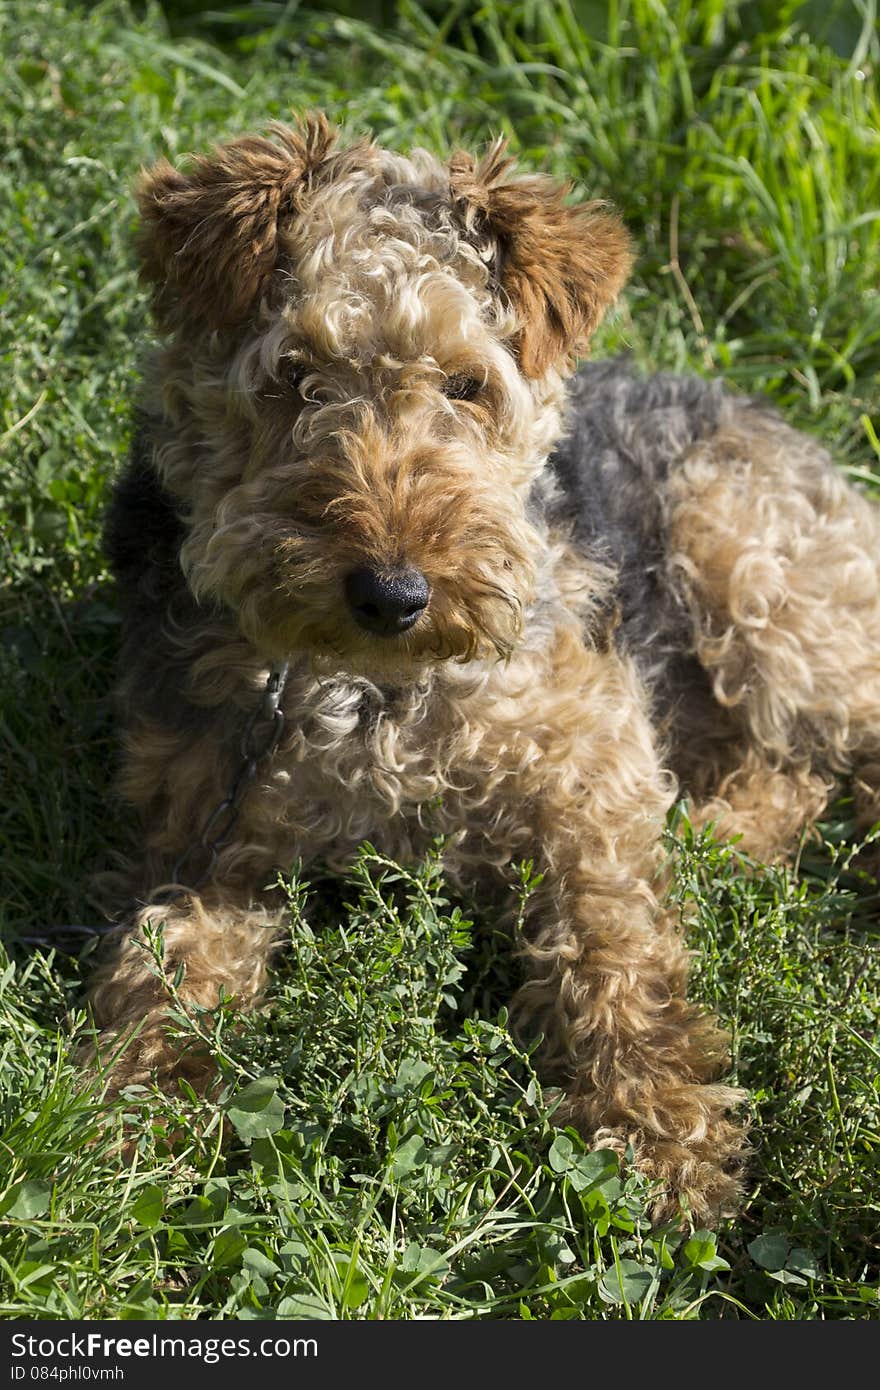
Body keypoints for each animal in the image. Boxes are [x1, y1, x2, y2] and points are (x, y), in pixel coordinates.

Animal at [87, 119, 878, 1228]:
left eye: (467, 384)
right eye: (293, 373)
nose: (392, 593)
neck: (376, 697)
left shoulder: (587, 773)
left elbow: (614, 948)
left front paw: (659, 1137)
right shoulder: (204, 843)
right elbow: (162, 968)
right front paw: (127, 1131)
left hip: (760, 587)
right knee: (784, 772)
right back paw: (714, 838)